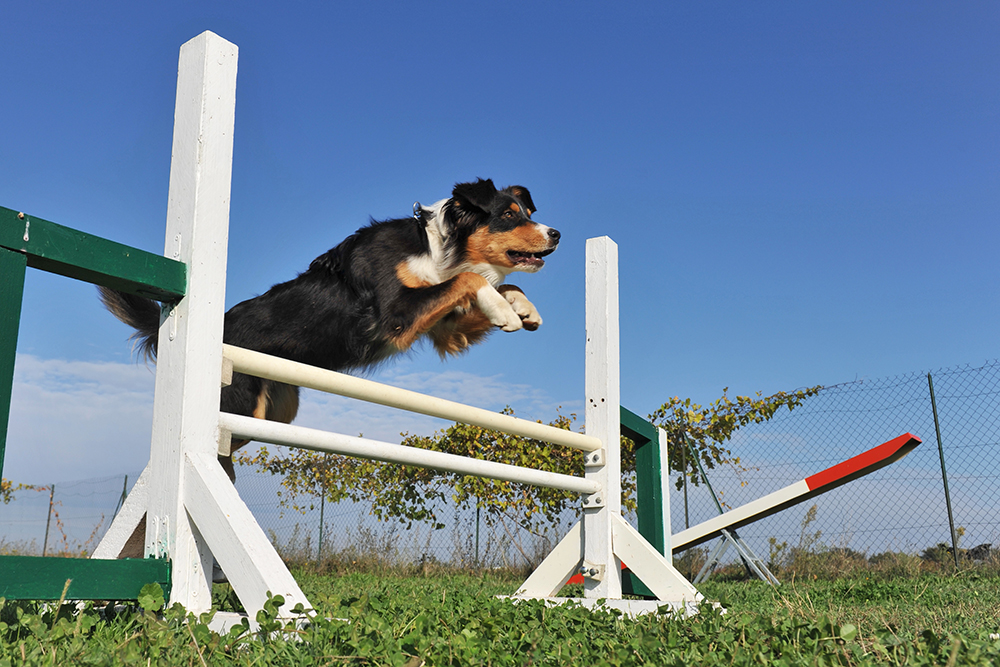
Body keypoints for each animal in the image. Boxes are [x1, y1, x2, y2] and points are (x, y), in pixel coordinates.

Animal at [100, 177, 560, 480]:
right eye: (507, 215)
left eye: (527, 213)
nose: (556, 233)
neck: (437, 248)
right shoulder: (396, 313)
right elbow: (471, 279)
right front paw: (503, 310)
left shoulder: (444, 330)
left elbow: (500, 283)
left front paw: (524, 308)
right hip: (237, 408)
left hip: (270, 413)